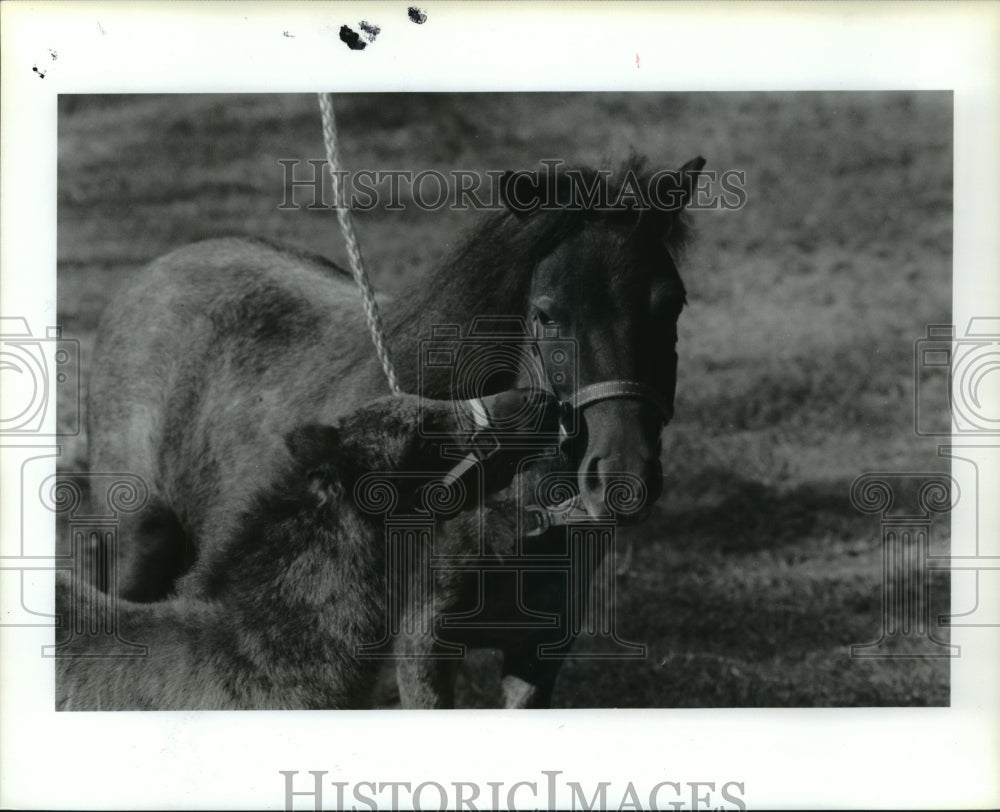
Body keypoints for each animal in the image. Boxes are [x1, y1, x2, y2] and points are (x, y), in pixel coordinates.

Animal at [86, 155, 706, 707]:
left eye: (672, 303)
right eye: (547, 314)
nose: (623, 477)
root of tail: (156, 270)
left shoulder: (540, 652)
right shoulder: (423, 652)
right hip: (137, 545)